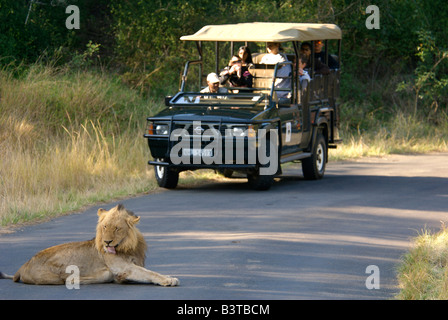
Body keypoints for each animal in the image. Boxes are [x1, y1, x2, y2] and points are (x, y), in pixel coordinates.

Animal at [0, 205, 178, 288]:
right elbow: (149, 273)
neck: (128, 247)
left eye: (117, 228)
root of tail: (23, 266)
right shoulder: (123, 268)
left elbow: (148, 272)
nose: (107, 242)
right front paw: (169, 279)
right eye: (105, 227)